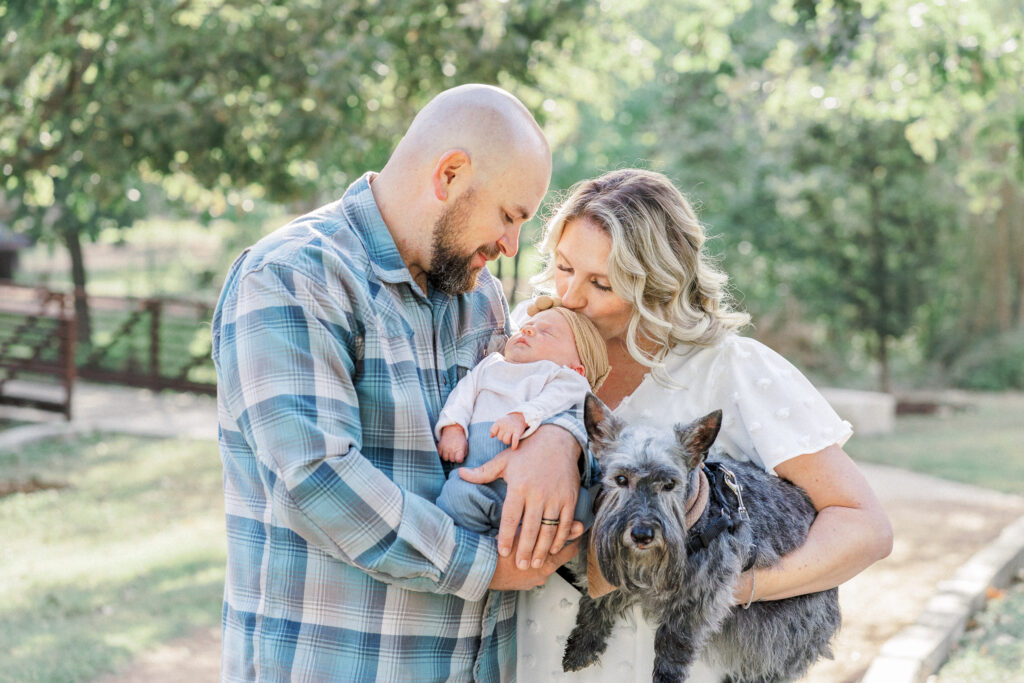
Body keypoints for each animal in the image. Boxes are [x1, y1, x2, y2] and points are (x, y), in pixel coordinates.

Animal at [561, 395, 839, 683]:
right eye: (620, 479)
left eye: (670, 484)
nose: (642, 535)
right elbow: (597, 602)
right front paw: (582, 646)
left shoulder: (699, 599)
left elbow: (674, 642)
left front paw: (667, 677)